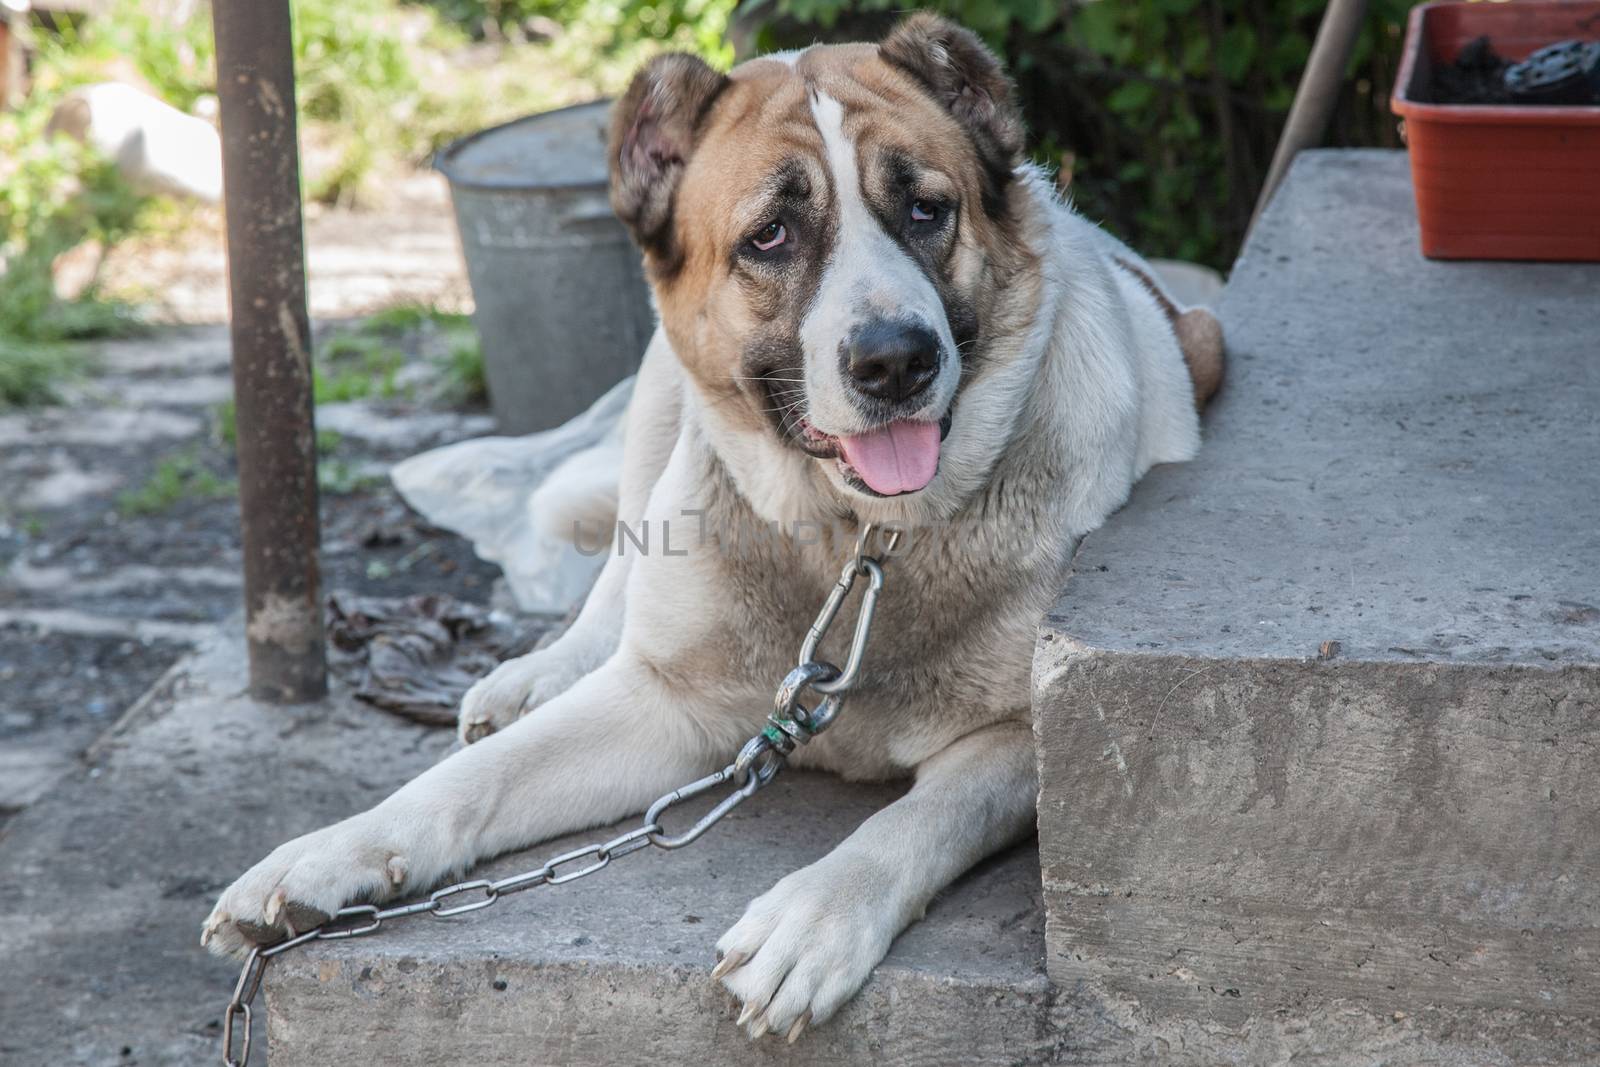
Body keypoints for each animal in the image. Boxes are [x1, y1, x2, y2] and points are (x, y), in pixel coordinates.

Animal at [203, 10, 1222, 1043]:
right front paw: (328, 853)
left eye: (926, 210)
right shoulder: (667, 703)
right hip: (658, 392)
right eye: (770, 235)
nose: (896, 358)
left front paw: (813, 919)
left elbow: (917, 821)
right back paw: (536, 674)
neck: (854, 543)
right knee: (614, 581)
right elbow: (471, 780)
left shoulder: (1020, 739)